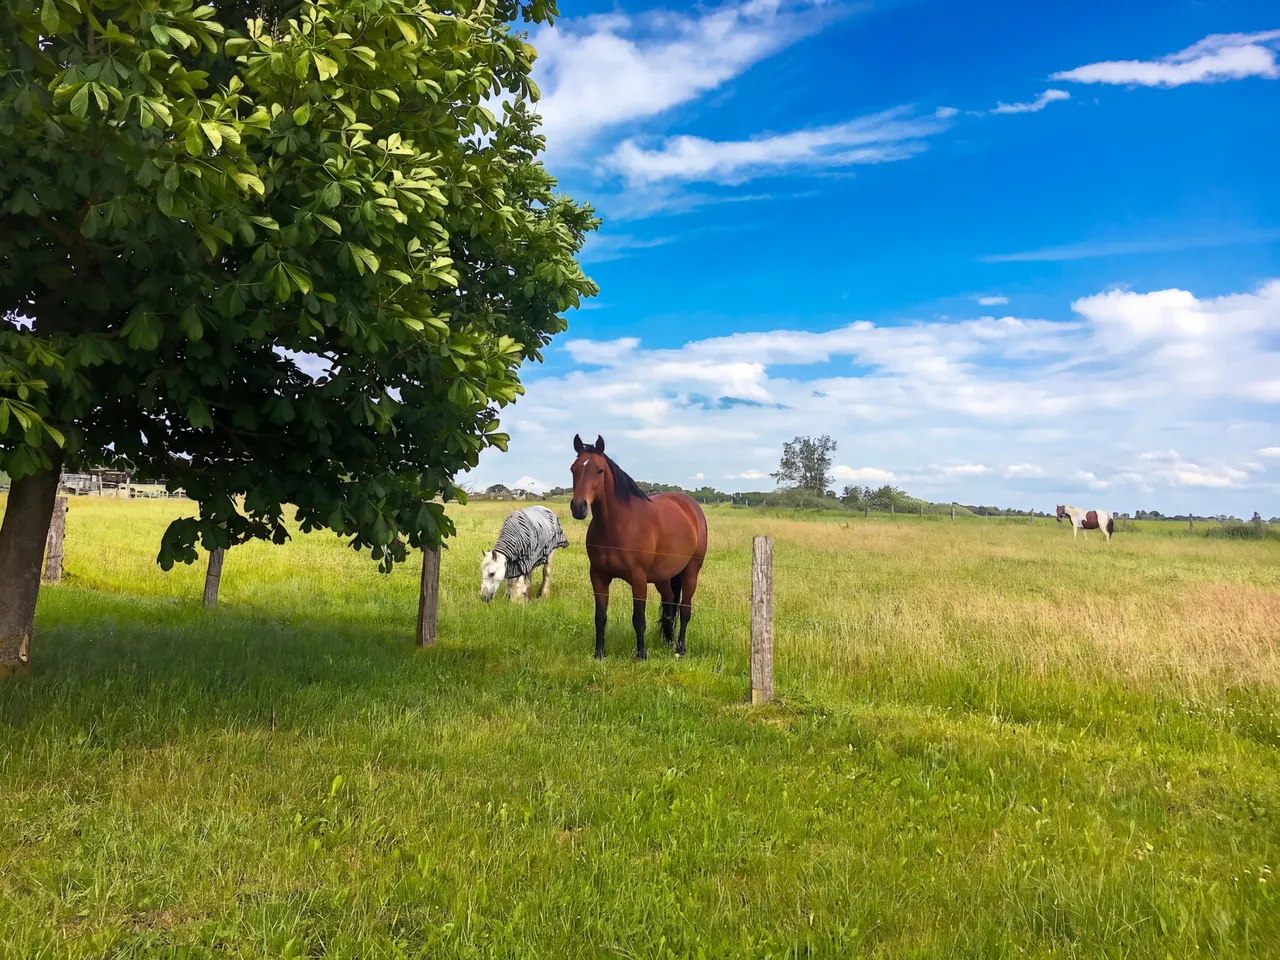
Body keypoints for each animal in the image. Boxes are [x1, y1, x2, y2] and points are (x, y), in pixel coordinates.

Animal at [569, 434, 708, 660]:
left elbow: (639, 619)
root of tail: (690, 506)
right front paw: (599, 654)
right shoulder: (598, 575)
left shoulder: (638, 578)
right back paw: (667, 641)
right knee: (669, 603)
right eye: (573, 469)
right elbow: (600, 616)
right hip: (663, 576)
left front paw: (641, 655)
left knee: (685, 610)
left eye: (599, 470)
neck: (618, 524)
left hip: (691, 571)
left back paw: (679, 648)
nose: (579, 507)